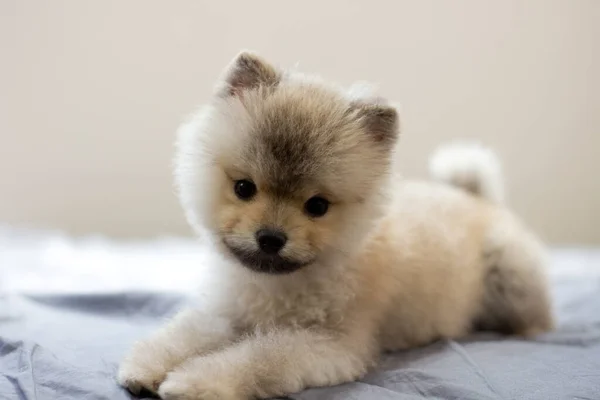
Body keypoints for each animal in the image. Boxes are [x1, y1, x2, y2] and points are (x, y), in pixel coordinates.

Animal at [117, 52, 552, 400]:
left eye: (317, 206)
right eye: (244, 188)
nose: (270, 237)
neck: (279, 286)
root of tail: (477, 197)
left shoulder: (328, 344)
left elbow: (259, 357)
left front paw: (197, 382)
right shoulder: (229, 312)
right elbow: (187, 332)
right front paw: (148, 364)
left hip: (511, 272)